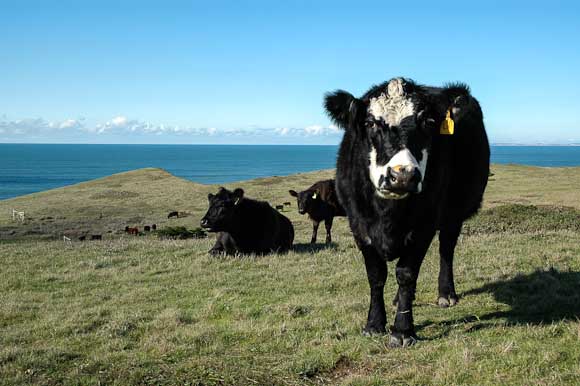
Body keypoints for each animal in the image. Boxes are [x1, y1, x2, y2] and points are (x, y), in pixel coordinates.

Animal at [326, 76, 490, 346]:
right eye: (370, 123)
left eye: (429, 122)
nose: (402, 175)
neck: (387, 216)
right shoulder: (358, 225)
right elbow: (376, 275)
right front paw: (374, 324)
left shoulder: (425, 225)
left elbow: (406, 273)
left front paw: (402, 331)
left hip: (453, 215)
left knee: (446, 250)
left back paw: (446, 294)